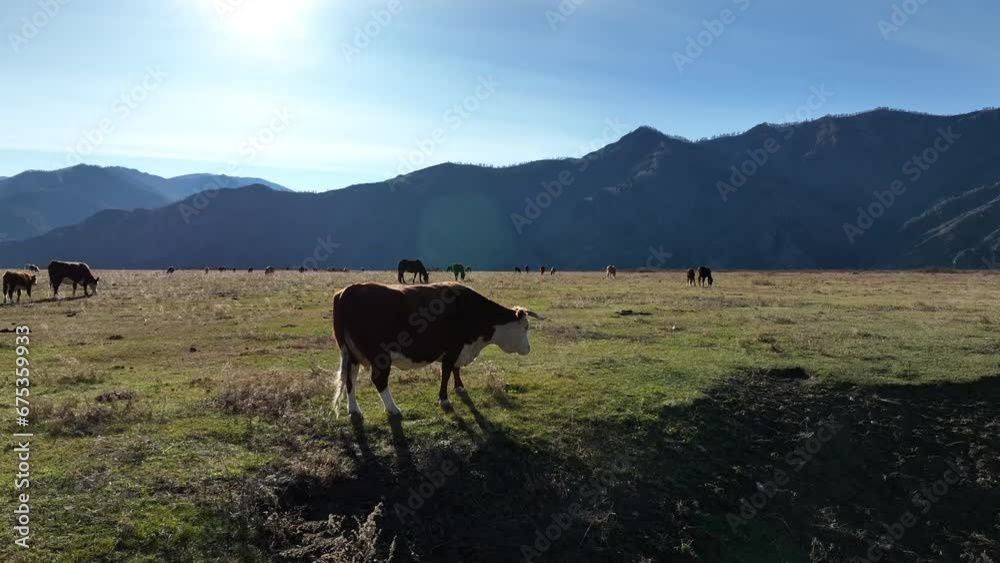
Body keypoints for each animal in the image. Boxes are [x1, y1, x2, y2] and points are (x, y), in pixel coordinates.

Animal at [331, 282, 543, 415]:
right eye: (526, 327)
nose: (528, 348)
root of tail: (349, 290)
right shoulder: (453, 348)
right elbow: (447, 371)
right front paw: (444, 399)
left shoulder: (459, 349)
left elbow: (456, 369)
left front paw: (460, 387)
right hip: (379, 355)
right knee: (378, 379)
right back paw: (392, 408)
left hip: (351, 355)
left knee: (350, 379)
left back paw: (354, 409)